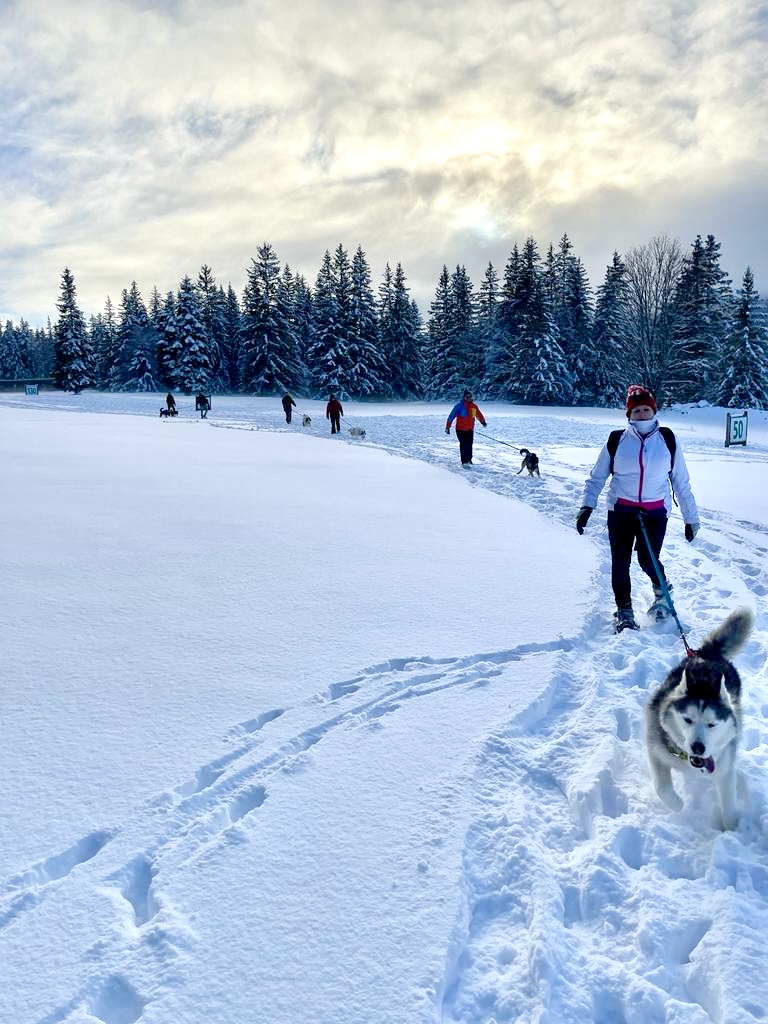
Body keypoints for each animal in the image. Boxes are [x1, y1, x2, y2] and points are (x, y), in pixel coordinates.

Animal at [647, 606, 753, 831]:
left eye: (712, 724)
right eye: (687, 720)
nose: (698, 747)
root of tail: (707, 656)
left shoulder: (724, 769)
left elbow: (728, 806)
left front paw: (731, 833)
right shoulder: (655, 746)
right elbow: (663, 789)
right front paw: (677, 804)